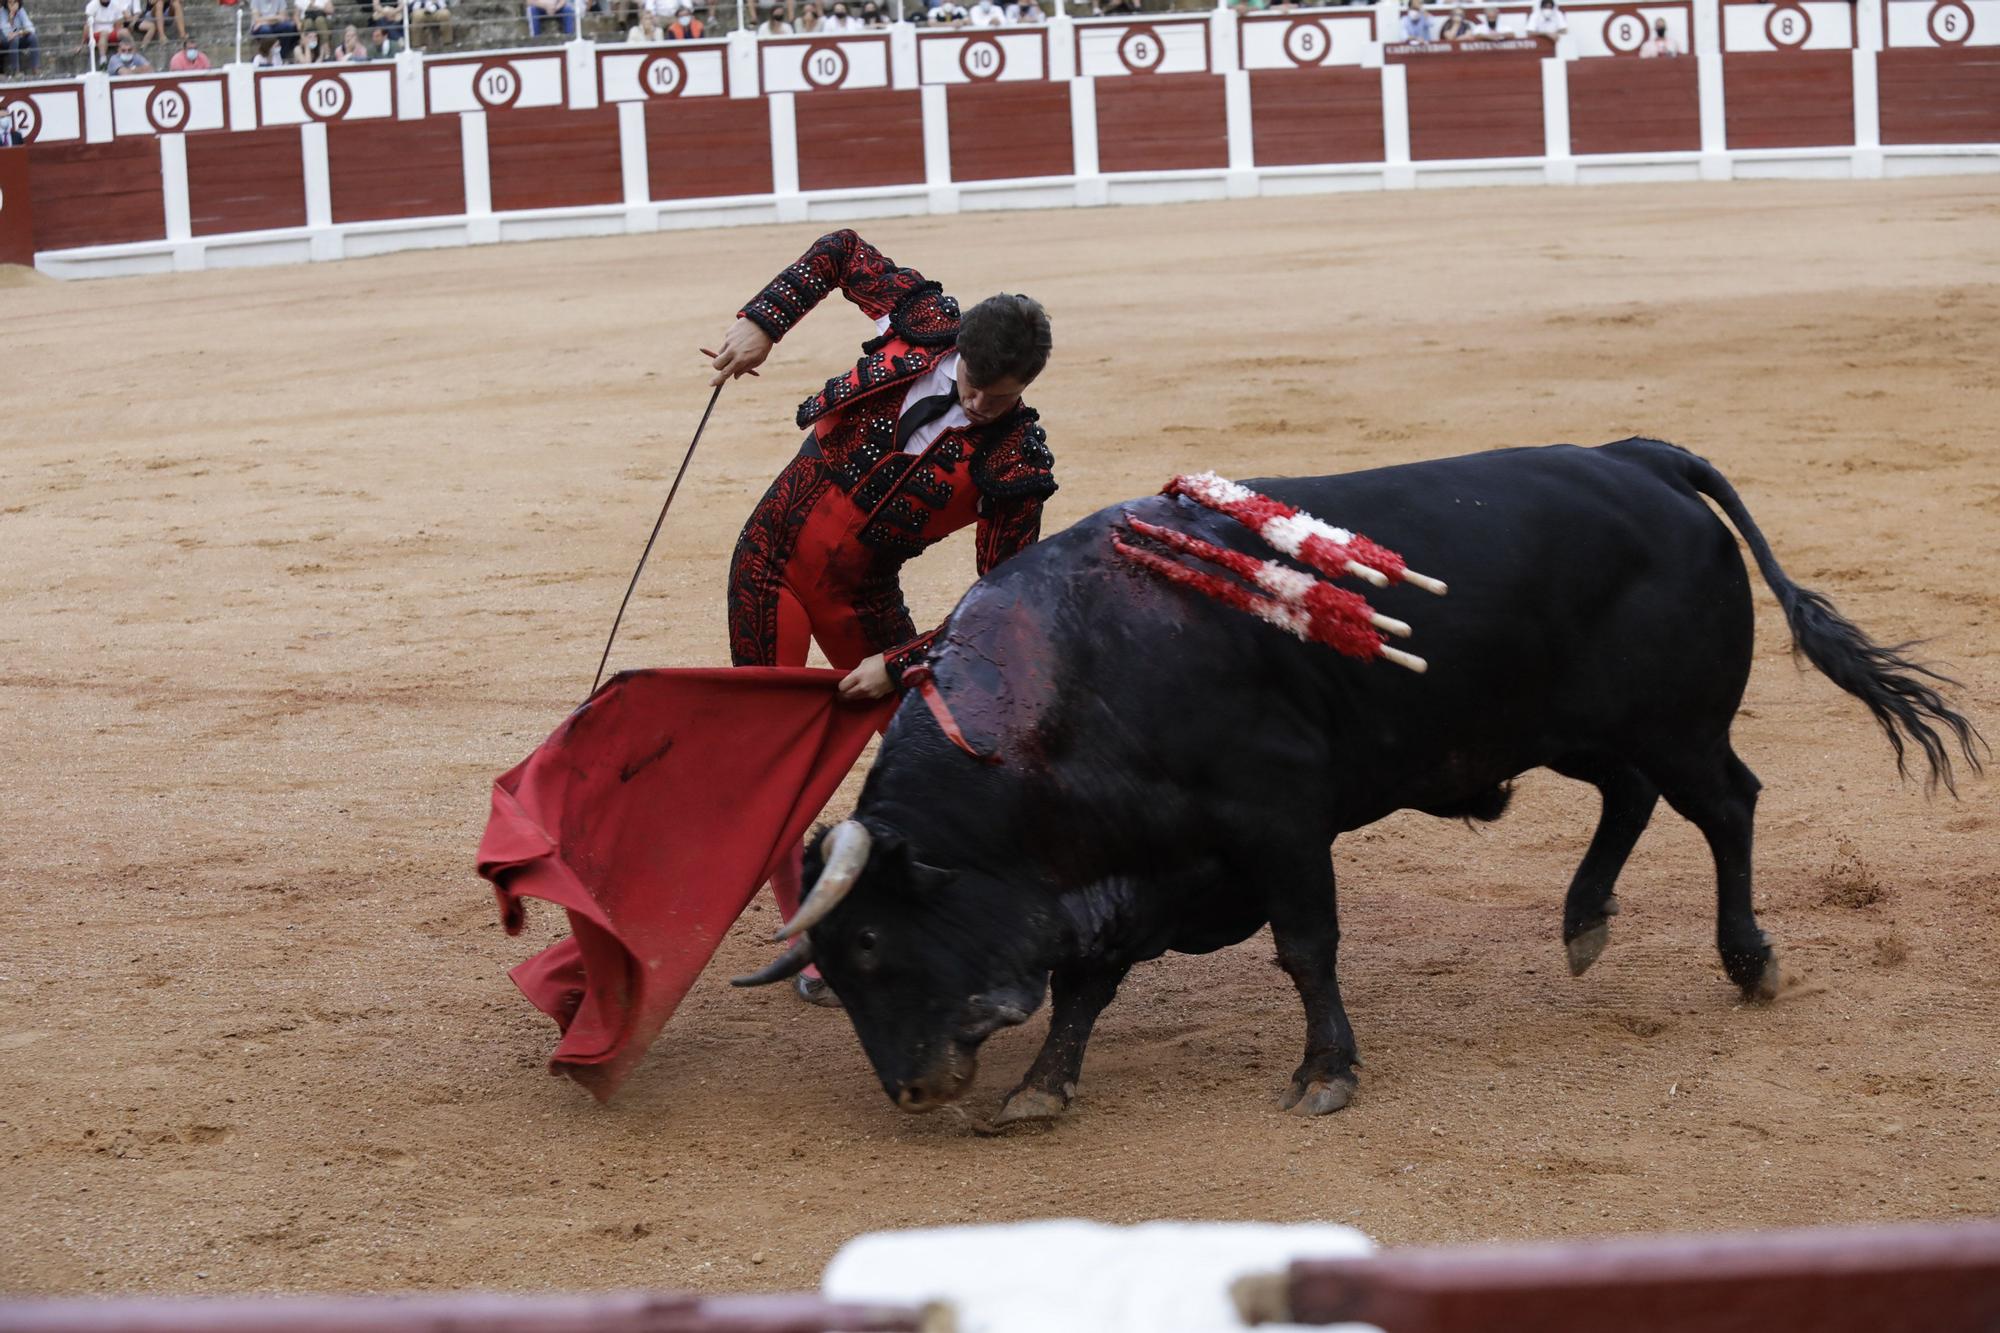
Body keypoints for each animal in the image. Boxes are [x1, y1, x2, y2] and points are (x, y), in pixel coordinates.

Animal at [740, 438, 1984, 1120]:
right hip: (1557, 723)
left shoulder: (1275, 822)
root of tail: (1639, 457)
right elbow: (1090, 978)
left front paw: (1323, 1074)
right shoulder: (1150, 865)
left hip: (1673, 722)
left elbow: (1304, 948)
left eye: (866, 943)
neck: (1075, 677)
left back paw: (1747, 960)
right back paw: (1583, 922)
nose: (908, 1089)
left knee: (1725, 803)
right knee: (1625, 798)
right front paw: (1042, 1085)